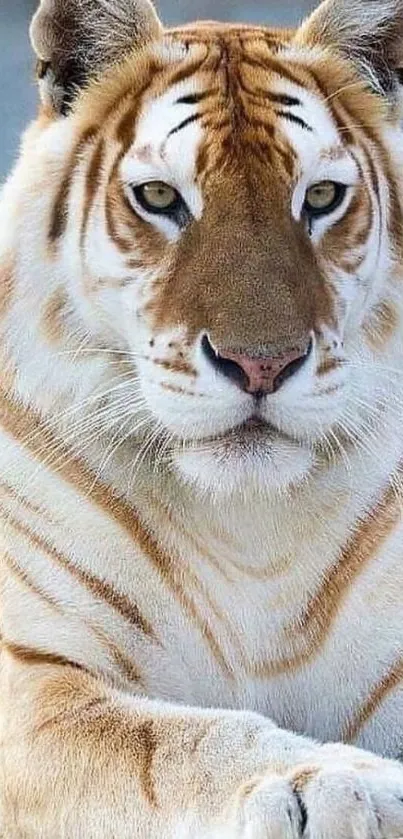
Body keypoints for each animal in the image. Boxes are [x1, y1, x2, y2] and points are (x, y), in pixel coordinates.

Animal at [3, 0, 403, 832]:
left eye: (320, 198)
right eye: (159, 199)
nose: (262, 364)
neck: (248, 529)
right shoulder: (37, 681)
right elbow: (171, 740)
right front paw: (339, 780)